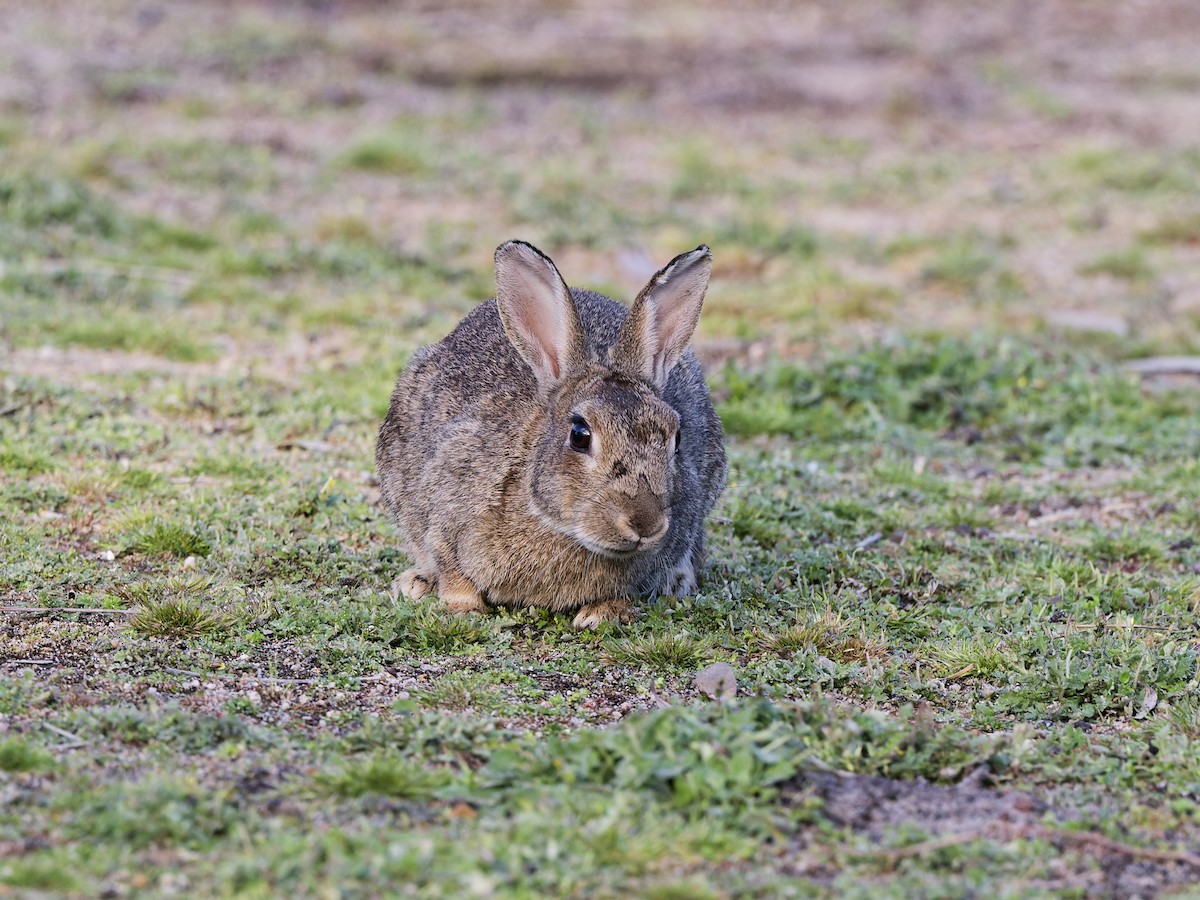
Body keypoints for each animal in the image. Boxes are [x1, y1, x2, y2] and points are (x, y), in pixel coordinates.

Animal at [375, 240, 727, 629]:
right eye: (580, 435)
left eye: (676, 437)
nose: (645, 523)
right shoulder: (444, 506)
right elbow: (450, 564)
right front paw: (464, 608)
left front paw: (603, 614)